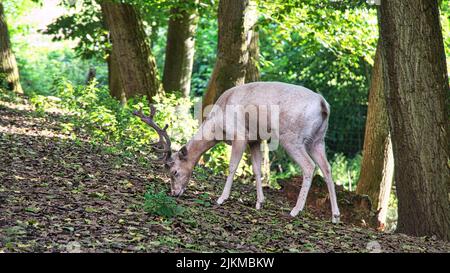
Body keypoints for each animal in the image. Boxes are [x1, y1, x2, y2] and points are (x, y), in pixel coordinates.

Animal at [134, 80, 342, 221]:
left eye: (175, 171)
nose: (174, 193)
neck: (217, 126)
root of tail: (323, 105)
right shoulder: (255, 139)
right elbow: (257, 169)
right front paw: (259, 203)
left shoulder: (240, 135)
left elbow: (233, 166)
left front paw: (221, 198)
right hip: (318, 139)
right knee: (327, 168)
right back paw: (335, 215)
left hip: (292, 137)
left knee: (309, 166)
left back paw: (295, 210)